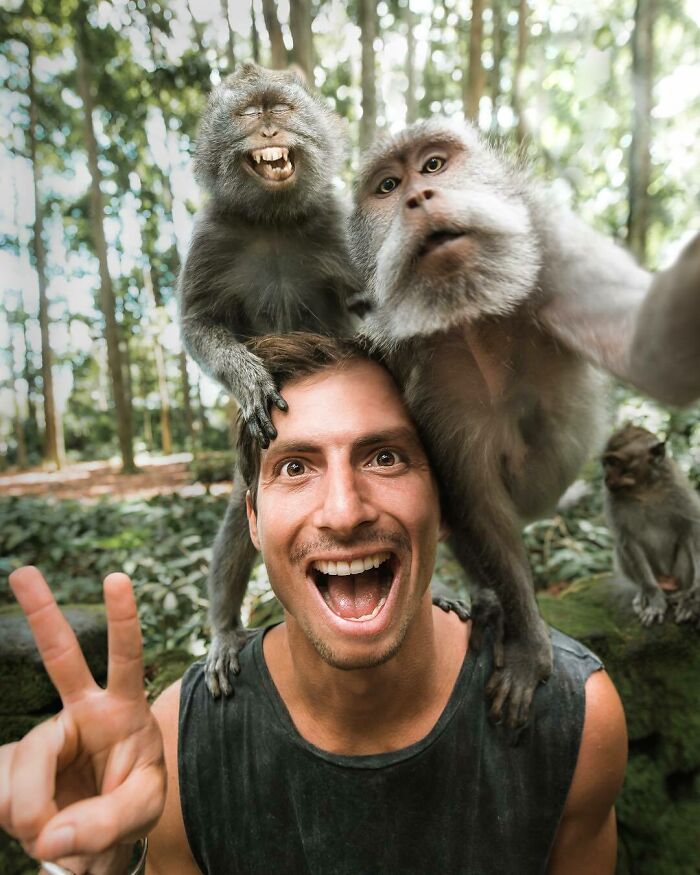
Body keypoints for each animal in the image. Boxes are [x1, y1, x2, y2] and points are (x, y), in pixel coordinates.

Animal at [178, 62, 360, 696]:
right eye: (246, 114)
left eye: (279, 107)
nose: (269, 128)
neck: (275, 218)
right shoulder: (211, 234)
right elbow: (198, 323)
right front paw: (248, 376)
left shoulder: (338, 224)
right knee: (240, 521)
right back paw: (225, 631)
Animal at [602, 424, 700, 627]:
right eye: (606, 463)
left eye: (614, 462)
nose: (606, 479)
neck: (645, 489)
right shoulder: (611, 498)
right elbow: (627, 540)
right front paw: (654, 598)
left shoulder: (678, 488)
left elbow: (693, 527)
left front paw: (695, 593)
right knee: (620, 547)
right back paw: (644, 593)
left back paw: (681, 593)